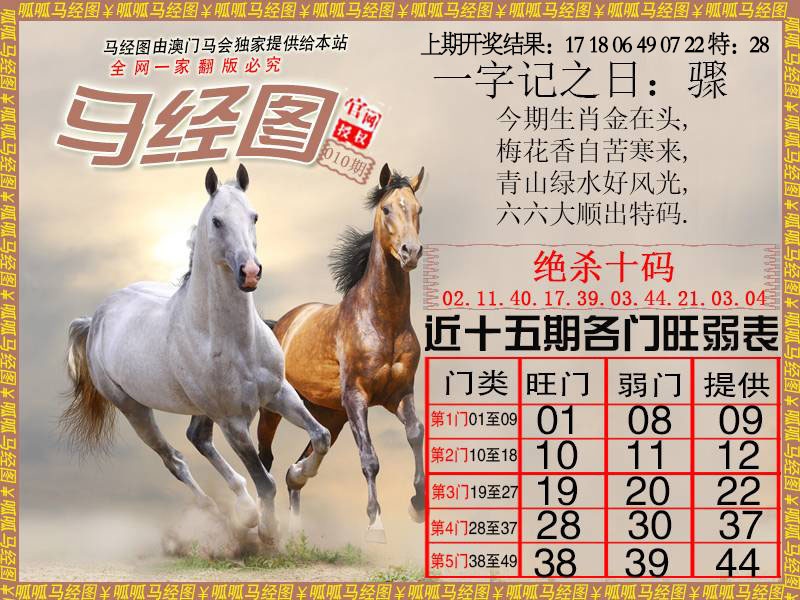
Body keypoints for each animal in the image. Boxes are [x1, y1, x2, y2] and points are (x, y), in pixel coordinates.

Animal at [63, 165, 331, 543]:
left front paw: (298, 474)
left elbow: (320, 437)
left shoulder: (278, 393)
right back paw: (225, 515)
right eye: (217, 221)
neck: (235, 341)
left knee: (197, 438)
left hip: (200, 409)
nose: (250, 272)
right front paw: (268, 531)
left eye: (254, 216)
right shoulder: (233, 421)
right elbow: (265, 480)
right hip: (134, 409)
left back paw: (243, 509)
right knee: (174, 459)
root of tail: (96, 317)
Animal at [256, 163, 425, 543]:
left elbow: (415, 434)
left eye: (418, 209)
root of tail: (280, 324)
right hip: (275, 409)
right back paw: (264, 524)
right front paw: (376, 524)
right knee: (265, 458)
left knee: (298, 465)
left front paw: (417, 505)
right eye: (386, 209)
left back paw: (297, 509)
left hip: (329, 414)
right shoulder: (357, 397)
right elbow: (370, 458)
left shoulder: (399, 394)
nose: (410, 252)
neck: (382, 321)